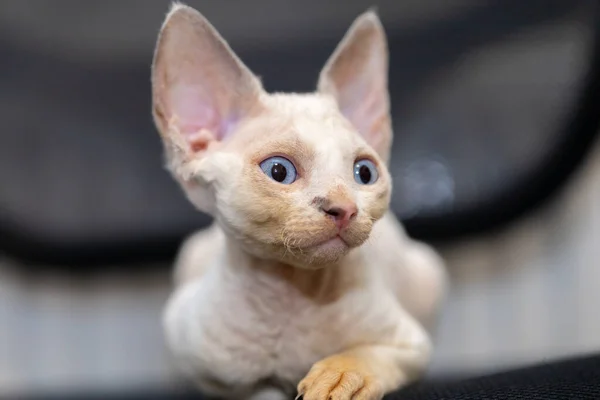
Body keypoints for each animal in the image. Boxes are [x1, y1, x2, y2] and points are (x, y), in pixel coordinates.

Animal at [152, 3, 448, 400]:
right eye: (279, 171)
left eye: (364, 173)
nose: (345, 208)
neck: (292, 296)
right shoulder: (211, 373)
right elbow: (261, 391)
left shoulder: (411, 344)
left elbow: (372, 354)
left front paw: (341, 375)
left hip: (428, 272)